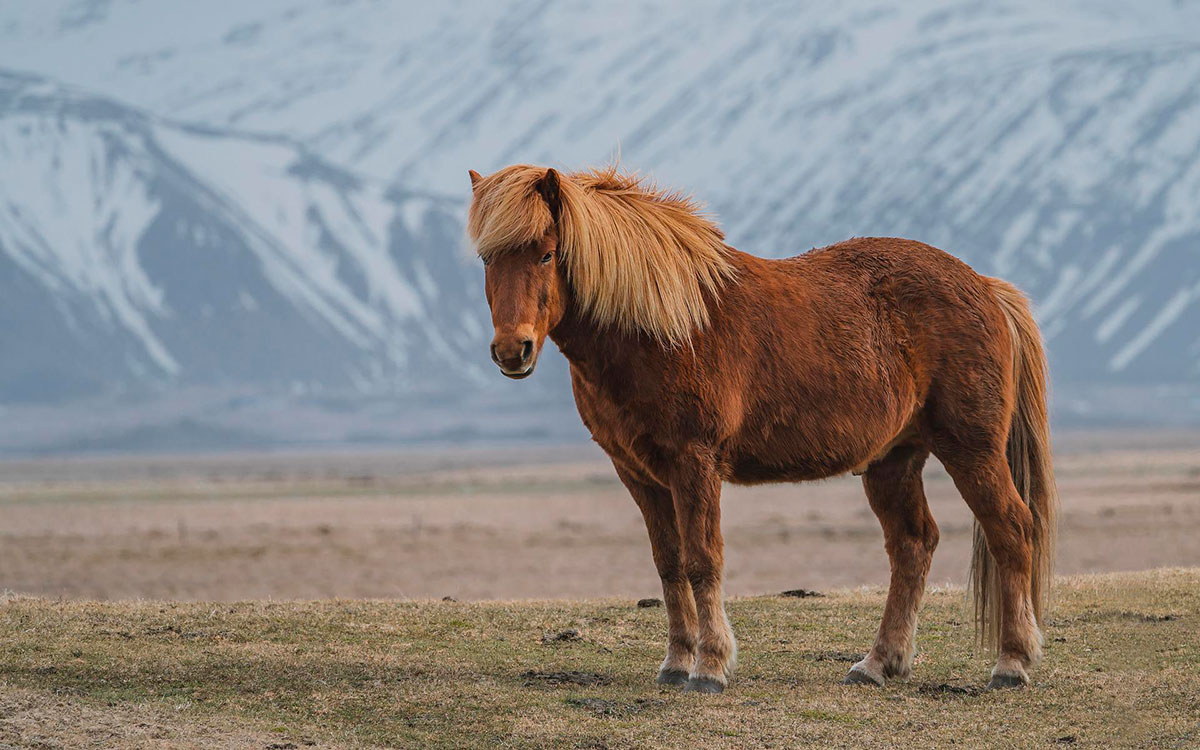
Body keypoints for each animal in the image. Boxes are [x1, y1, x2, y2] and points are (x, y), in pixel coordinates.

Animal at [463, 166, 1056, 691]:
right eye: (488, 258)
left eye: (546, 252)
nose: (512, 350)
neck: (658, 327)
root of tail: (985, 286)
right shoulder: (639, 474)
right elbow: (669, 564)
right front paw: (676, 662)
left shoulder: (694, 462)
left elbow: (703, 560)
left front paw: (709, 668)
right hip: (893, 460)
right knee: (913, 543)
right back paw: (878, 664)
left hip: (971, 449)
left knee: (1011, 529)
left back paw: (1011, 663)